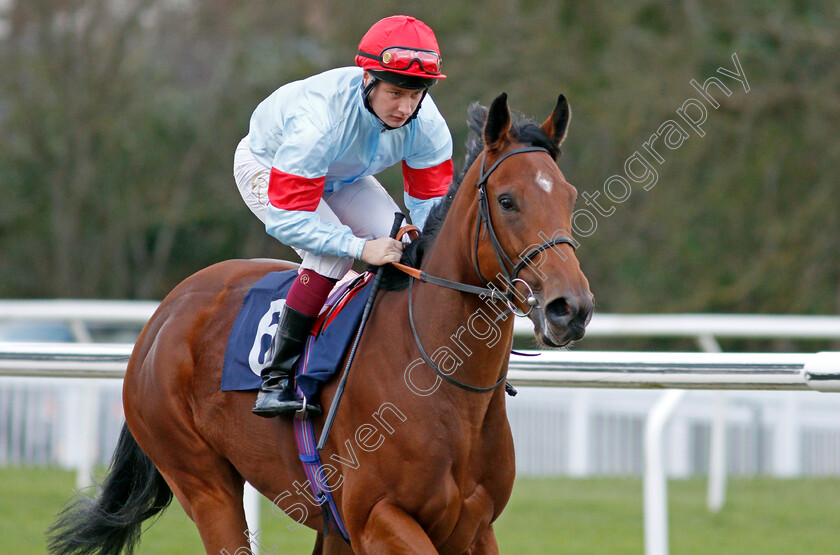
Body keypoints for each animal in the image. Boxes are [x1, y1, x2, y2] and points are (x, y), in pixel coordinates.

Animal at [49, 93, 592, 552]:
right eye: (507, 200)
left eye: (569, 195)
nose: (571, 308)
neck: (444, 383)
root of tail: (162, 316)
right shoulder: (378, 517)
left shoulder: (471, 526)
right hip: (203, 484)